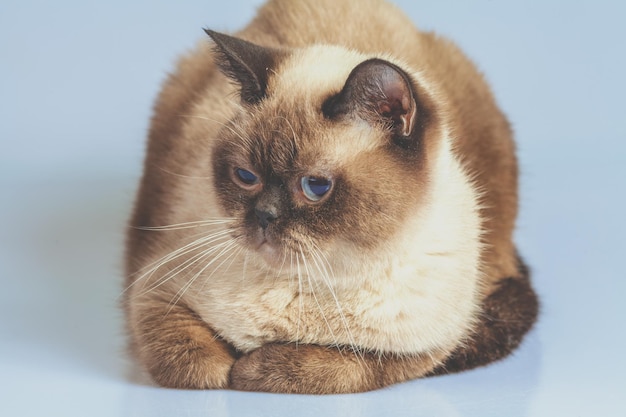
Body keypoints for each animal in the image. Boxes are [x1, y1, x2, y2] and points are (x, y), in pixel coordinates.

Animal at [123, 0, 536, 394]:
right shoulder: (157, 291)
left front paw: (253, 367)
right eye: (246, 177)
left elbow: (337, 367)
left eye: (316, 187)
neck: (316, 280)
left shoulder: (421, 349)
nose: (264, 216)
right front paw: (230, 367)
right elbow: (199, 368)